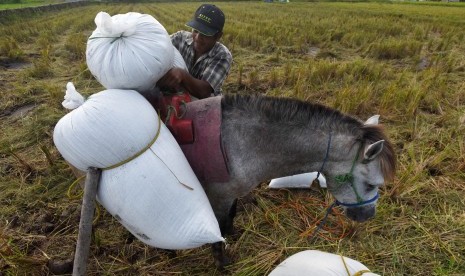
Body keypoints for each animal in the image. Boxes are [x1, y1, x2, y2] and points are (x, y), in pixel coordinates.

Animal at [183, 94, 396, 268]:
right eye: (371, 184)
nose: (369, 215)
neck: (239, 143)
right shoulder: (220, 197)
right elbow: (217, 229)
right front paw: (221, 262)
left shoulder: (231, 194)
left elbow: (231, 215)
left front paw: (231, 233)